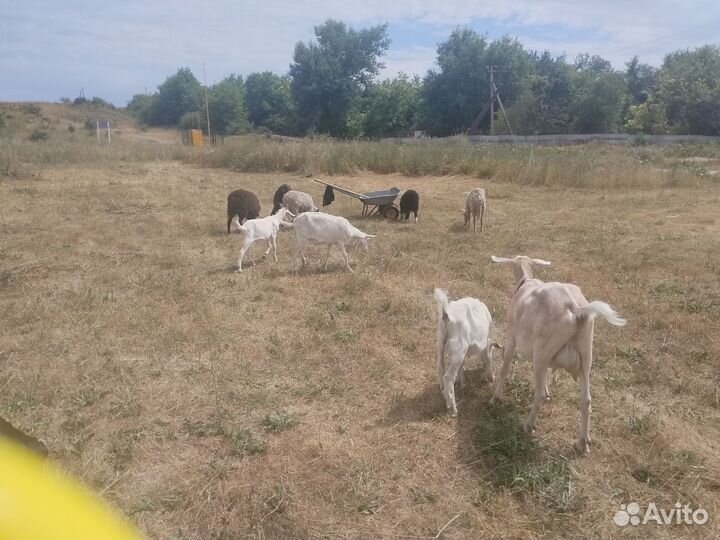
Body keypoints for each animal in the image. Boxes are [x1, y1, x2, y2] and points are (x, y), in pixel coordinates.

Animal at [490, 255, 626, 453]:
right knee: (586, 400)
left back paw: (528, 426)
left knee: (538, 393)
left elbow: (505, 365)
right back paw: (583, 442)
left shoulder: (512, 334)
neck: (526, 281)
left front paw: (495, 397)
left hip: (541, 351)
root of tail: (575, 310)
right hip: (585, 353)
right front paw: (548, 390)